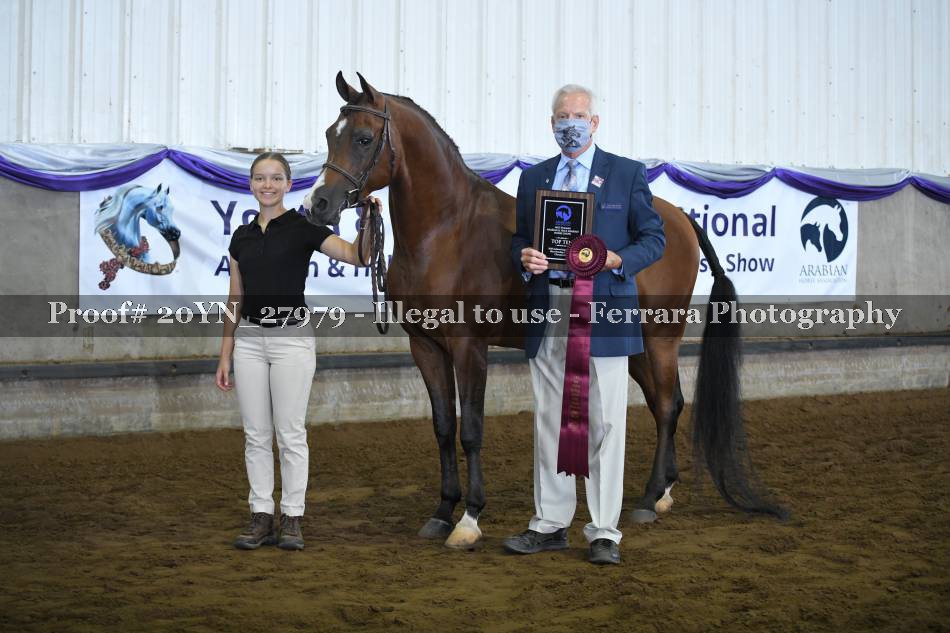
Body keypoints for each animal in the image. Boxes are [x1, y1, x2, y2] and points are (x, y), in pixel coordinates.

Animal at [304, 72, 785, 548]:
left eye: (364, 138)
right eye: (329, 134)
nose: (318, 204)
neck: (446, 231)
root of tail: (680, 217)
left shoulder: (468, 347)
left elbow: (471, 429)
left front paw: (470, 518)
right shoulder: (425, 346)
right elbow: (442, 428)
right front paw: (442, 512)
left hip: (660, 339)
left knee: (667, 406)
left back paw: (649, 501)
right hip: (632, 348)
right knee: (665, 402)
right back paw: (663, 492)